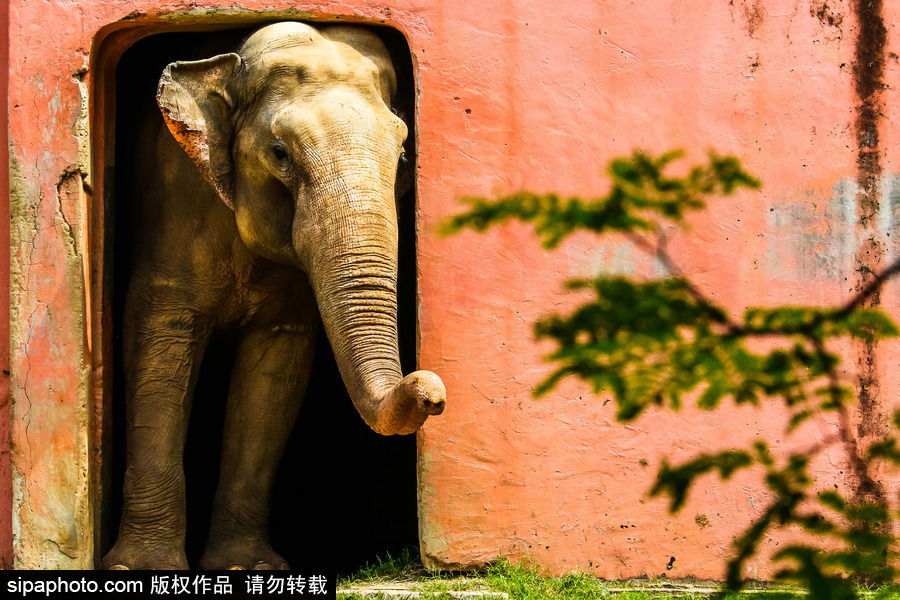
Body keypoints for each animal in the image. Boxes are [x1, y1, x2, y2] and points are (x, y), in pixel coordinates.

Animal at [102, 21, 446, 568]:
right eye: (280, 154)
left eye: (402, 156)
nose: (431, 389)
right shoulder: (169, 219)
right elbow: (159, 350)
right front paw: (140, 569)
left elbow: (274, 372)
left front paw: (246, 566)